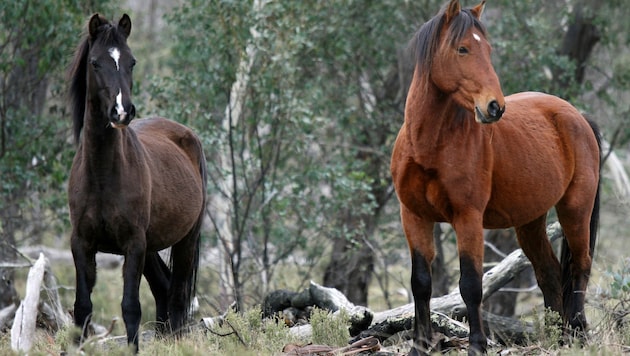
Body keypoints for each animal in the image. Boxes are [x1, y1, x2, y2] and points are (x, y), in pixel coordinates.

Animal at [68, 13, 209, 354]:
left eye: (131, 61)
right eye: (95, 63)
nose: (122, 112)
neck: (102, 175)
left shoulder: (133, 244)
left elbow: (130, 307)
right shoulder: (81, 243)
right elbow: (82, 307)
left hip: (184, 240)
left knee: (178, 295)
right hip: (153, 245)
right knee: (164, 288)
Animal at [392, 1, 604, 354]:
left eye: (488, 49)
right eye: (463, 48)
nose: (495, 107)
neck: (429, 145)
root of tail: (579, 116)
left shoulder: (467, 218)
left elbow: (471, 284)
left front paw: (477, 345)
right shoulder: (414, 216)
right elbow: (420, 282)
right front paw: (419, 345)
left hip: (575, 210)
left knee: (580, 266)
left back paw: (578, 332)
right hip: (530, 222)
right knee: (549, 271)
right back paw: (557, 337)